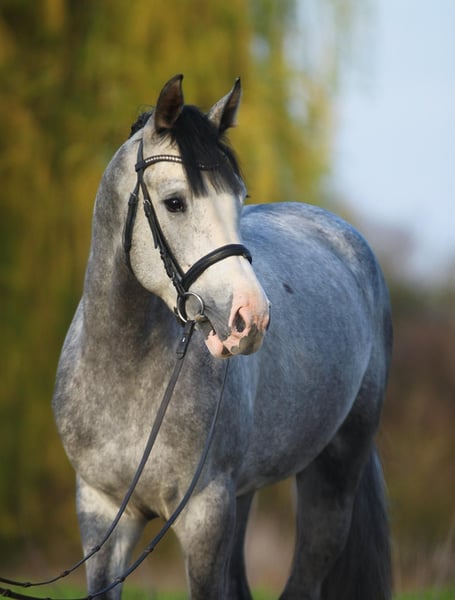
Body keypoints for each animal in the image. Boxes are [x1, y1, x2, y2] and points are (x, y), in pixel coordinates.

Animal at [52, 74, 393, 600]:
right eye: (175, 202)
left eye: (240, 198)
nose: (250, 318)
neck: (124, 375)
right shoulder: (102, 513)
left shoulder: (205, 514)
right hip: (245, 492)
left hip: (334, 475)